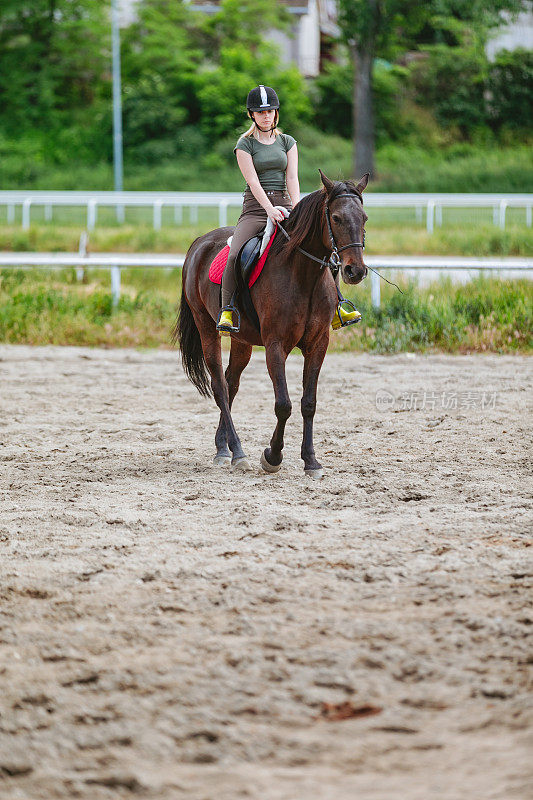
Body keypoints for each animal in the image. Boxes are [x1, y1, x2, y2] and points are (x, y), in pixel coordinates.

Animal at [172, 168, 368, 476]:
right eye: (336, 218)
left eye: (364, 218)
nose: (355, 271)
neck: (303, 275)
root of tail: (200, 241)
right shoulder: (276, 345)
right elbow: (284, 404)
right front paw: (272, 456)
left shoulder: (318, 344)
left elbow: (309, 403)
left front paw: (311, 460)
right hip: (206, 328)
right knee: (219, 386)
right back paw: (238, 452)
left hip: (242, 340)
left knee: (231, 384)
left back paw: (223, 448)